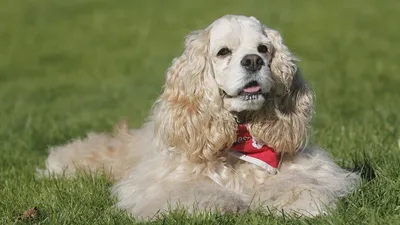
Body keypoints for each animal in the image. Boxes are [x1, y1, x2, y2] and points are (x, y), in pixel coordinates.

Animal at [39, 15, 360, 220]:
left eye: (263, 49)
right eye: (223, 52)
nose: (253, 61)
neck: (239, 139)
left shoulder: (314, 170)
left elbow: (303, 185)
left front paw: (304, 203)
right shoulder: (160, 185)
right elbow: (195, 194)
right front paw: (225, 205)